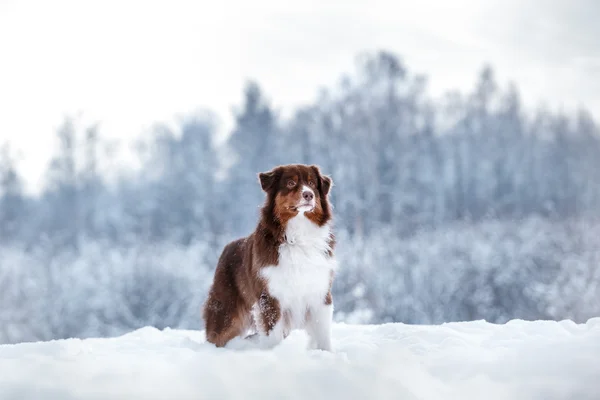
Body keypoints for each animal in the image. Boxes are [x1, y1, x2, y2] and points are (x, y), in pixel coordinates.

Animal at [203, 162, 338, 350]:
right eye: (290, 183)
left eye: (312, 183)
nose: (308, 194)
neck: (298, 235)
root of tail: (227, 247)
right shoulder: (269, 297)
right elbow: (273, 334)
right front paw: (273, 352)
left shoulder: (320, 292)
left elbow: (323, 333)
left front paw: (326, 353)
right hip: (226, 312)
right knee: (217, 335)